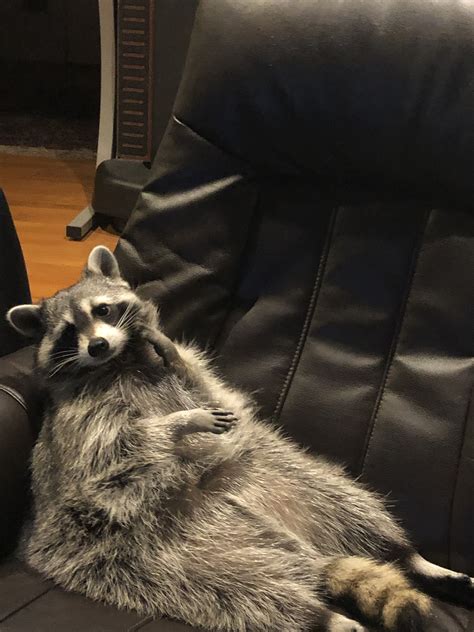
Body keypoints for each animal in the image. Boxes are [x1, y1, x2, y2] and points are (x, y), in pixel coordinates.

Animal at [7, 244, 474, 628]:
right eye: (70, 331)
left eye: (102, 311)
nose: (98, 346)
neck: (122, 362)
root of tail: (305, 552)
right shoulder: (81, 425)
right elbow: (120, 449)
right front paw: (181, 422)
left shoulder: (191, 377)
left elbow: (205, 385)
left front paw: (172, 357)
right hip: (147, 556)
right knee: (236, 590)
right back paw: (322, 617)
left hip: (279, 474)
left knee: (347, 505)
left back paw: (409, 558)